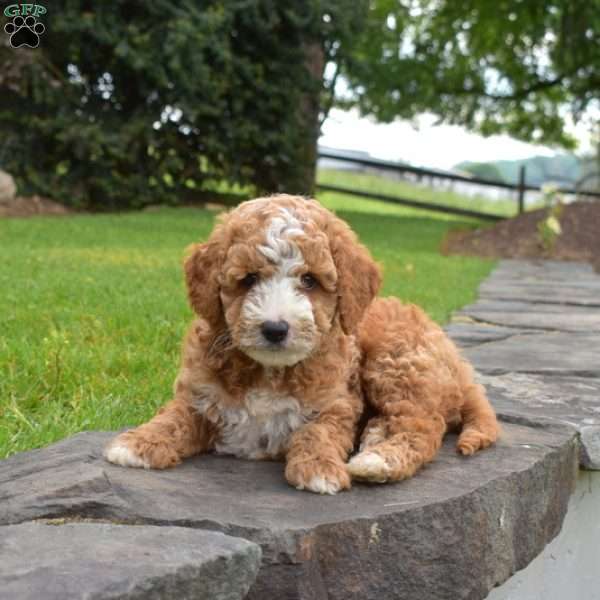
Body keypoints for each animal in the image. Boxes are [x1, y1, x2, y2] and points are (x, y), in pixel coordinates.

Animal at [104, 195, 496, 494]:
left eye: (309, 280)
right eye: (248, 279)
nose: (275, 328)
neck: (269, 370)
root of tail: (460, 366)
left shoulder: (337, 404)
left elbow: (316, 431)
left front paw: (319, 469)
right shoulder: (200, 395)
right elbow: (174, 416)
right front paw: (137, 443)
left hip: (397, 361)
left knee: (422, 425)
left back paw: (376, 461)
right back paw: (372, 440)